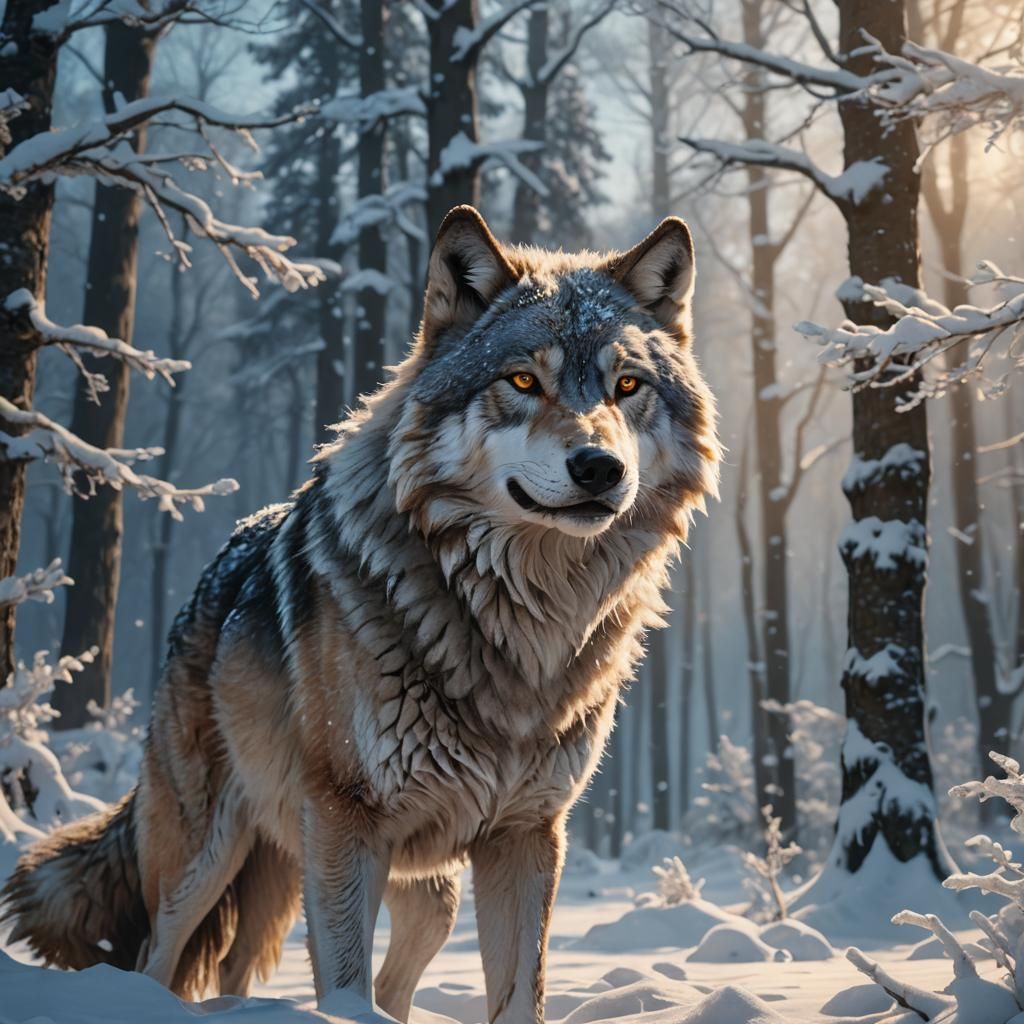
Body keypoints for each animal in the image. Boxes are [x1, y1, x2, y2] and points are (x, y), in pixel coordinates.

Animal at [2, 206, 720, 1022]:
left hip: (419, 889)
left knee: (350, 978)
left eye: (627, 385)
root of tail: (211, 573)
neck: (516, 621)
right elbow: (344, 988)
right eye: (522, 380)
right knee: (162, 957)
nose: (601, 467)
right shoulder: (347, 823)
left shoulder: (526, 833)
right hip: (207, 857)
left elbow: (516, 996)